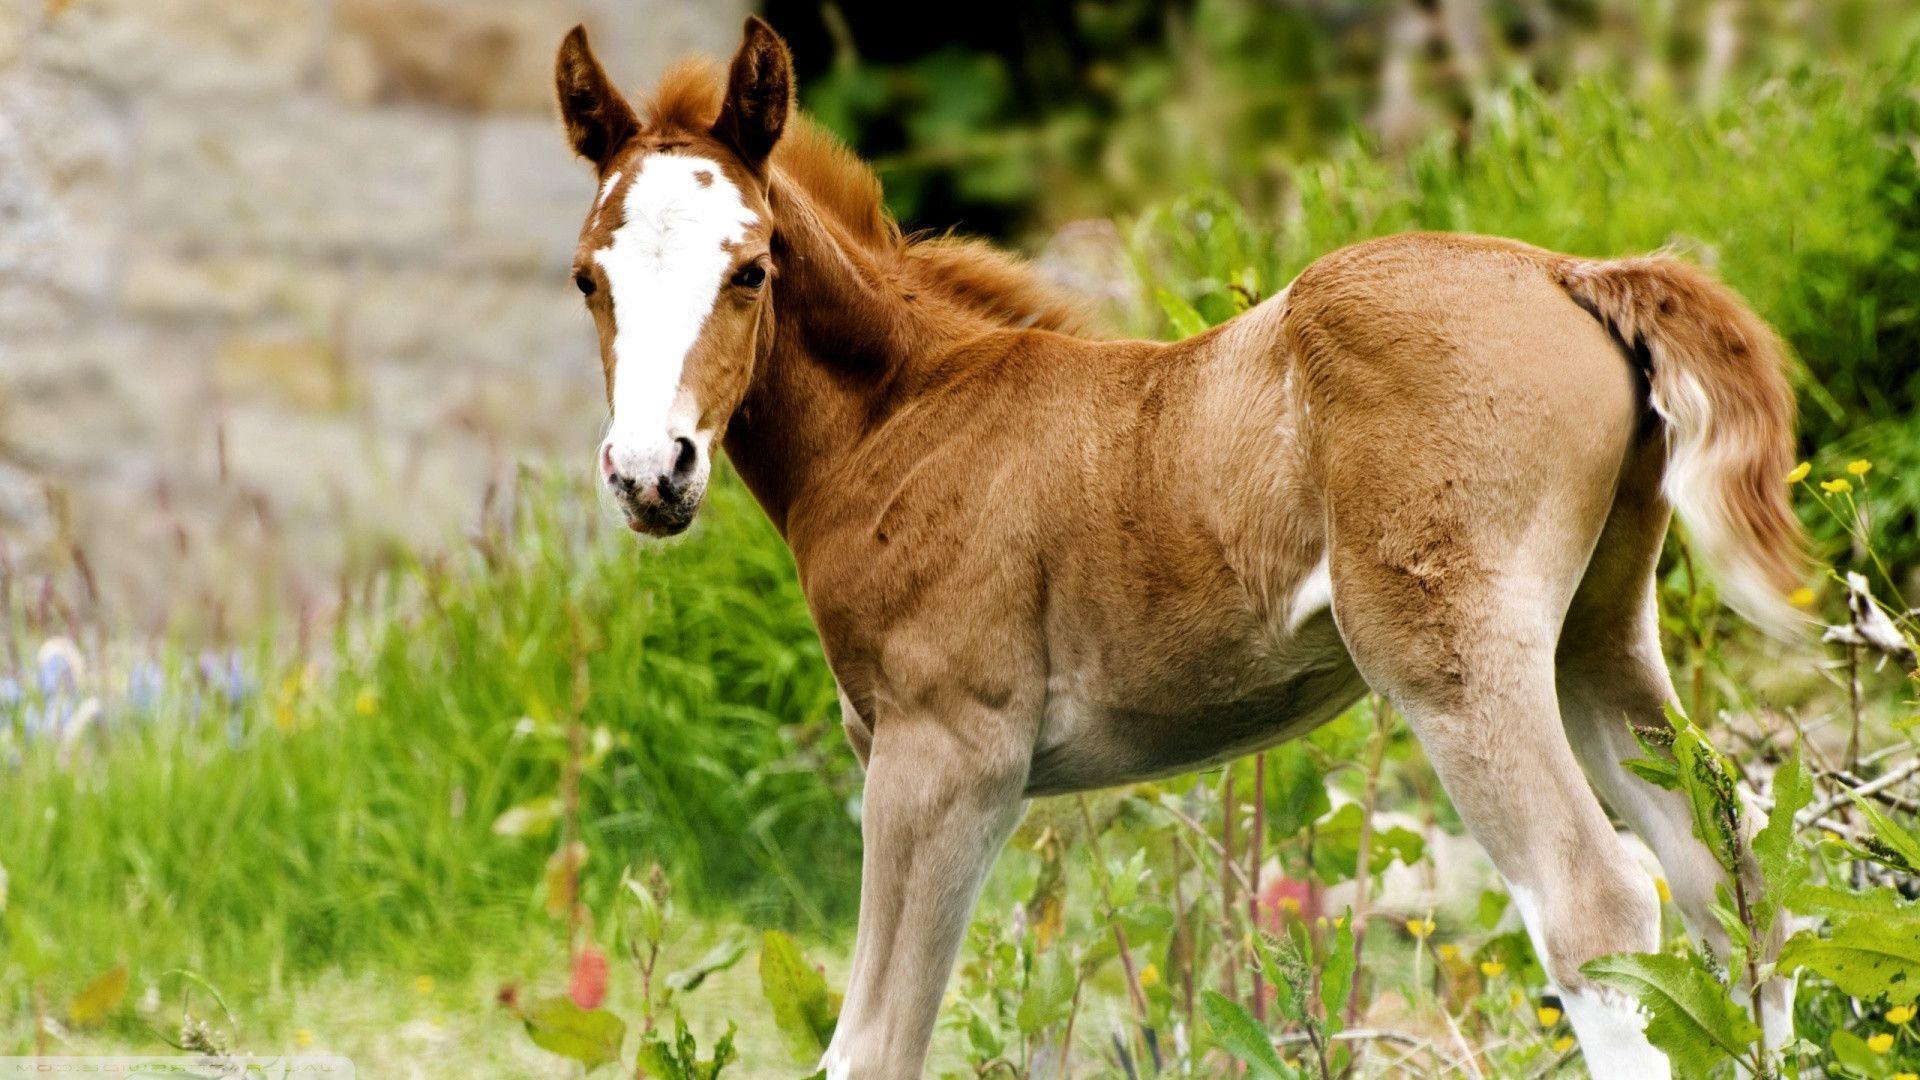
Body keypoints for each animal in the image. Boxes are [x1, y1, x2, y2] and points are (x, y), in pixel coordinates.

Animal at [554, 18, 1806, 1078]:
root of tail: (1567, 272)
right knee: (1732, 882)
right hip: (1598, 633)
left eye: (749, 267)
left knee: (1599, 907)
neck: (903, 418)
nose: (651, 472)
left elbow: (871, 1046)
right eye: (587, 278)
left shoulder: (946, 757)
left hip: (1454, 655)